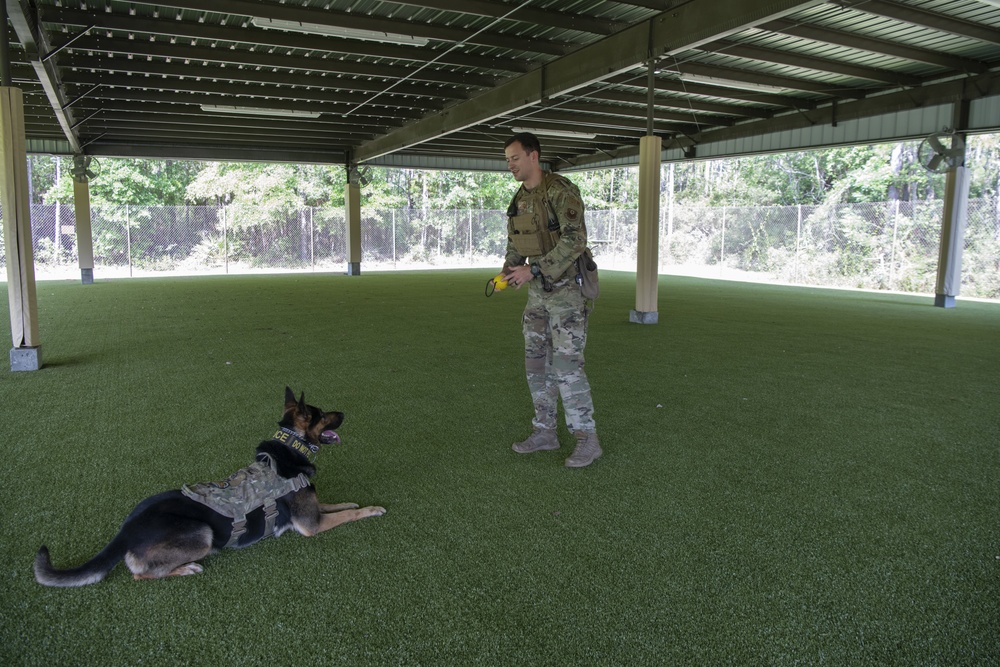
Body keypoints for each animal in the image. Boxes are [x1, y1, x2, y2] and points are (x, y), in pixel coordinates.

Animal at [35, 388, 386, 588]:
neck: (290, 450)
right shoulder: (311, 526)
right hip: (202, 534)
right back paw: (186, 568)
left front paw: (352, 503)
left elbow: (336, 504)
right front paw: (373, 509)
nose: (344, 412)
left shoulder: (314, 509)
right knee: (138, 572)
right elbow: (349, 516)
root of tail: (127, 528)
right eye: (322, 414)